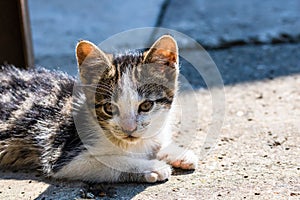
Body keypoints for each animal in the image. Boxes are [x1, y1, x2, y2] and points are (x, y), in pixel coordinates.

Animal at [0, 34, 197, 183]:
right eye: (109, 108)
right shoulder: (62, 155)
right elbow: (112, 162)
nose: (129, 129)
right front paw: (153, 167)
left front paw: (176, 152)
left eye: (146, 105)